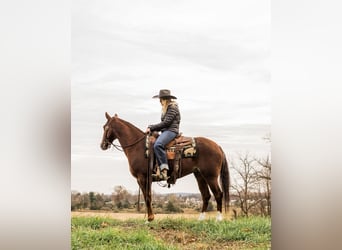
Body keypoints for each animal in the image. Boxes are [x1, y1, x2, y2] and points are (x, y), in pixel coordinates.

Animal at [100, 112, 231, 222]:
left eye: (105, 127)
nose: (102, 145)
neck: (138, 146)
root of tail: (217, 146)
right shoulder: (144, 179)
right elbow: (148, 196)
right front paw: (150, 217)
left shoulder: (142, 178)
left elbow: (147, 196)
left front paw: (150, 219)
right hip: (199, 175)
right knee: (206, 195)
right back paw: (201, 219)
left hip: (210, 176)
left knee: (218, 194)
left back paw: (218, 219)